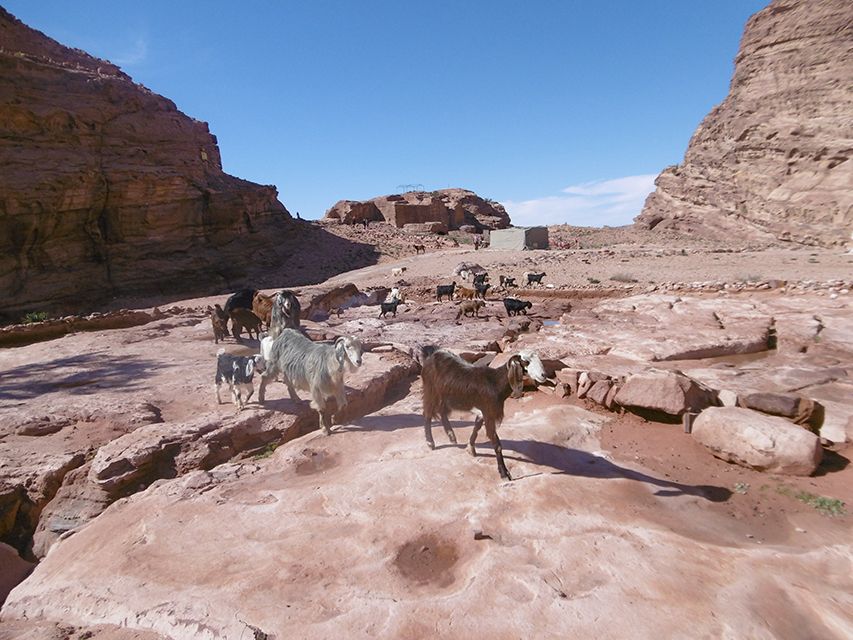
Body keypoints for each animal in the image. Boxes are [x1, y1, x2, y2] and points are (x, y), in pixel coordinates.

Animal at [418, 344, 544, 480]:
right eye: (526, 361)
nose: (543, 375)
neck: (495, 383)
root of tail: (430, 355)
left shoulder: (483, 410)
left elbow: (476, 427)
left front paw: (470, 448)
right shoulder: (489, 412)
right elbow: (496, 444)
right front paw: (504, 473)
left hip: (445, 394)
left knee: (442, 411)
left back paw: (451, 436)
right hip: (431, 390)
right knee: (427, 413)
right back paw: (430, 442)